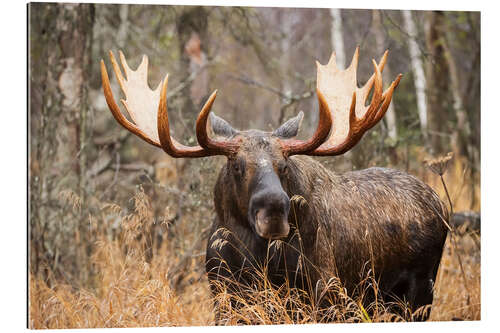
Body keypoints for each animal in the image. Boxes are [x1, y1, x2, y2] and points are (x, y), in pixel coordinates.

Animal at [100, 47, 450, 322]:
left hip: (419, 291)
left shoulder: (325, 294)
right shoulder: (224, 297)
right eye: (237, 165)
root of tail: (440, 203)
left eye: (283, 165)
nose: (274, 210)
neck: (253, 259)